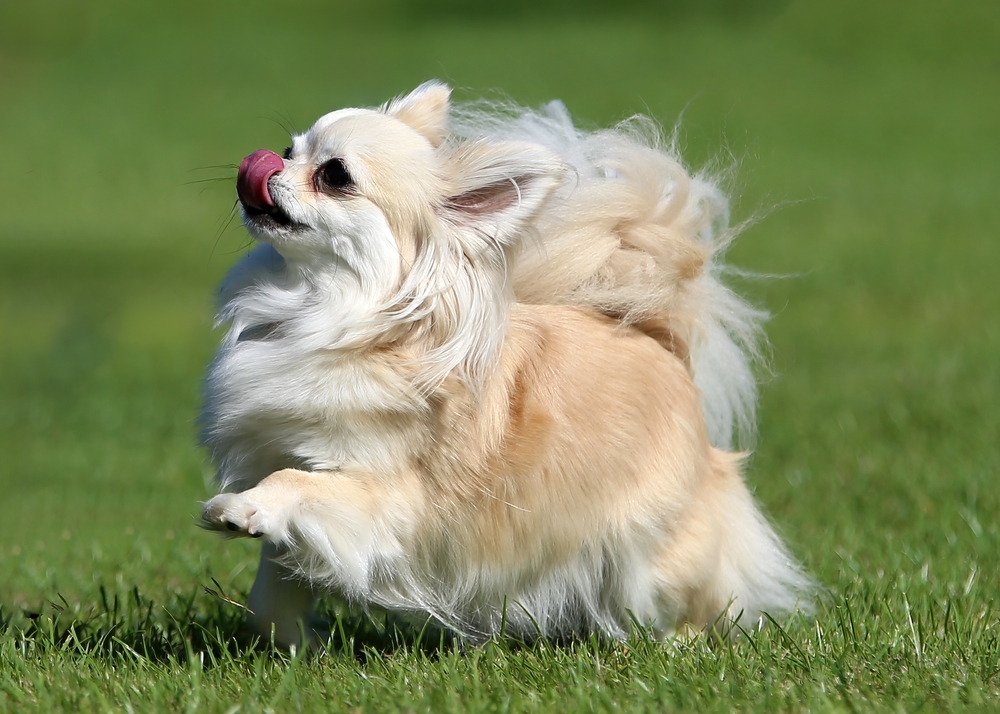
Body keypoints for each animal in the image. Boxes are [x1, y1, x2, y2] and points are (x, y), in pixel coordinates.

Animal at [197, 82, 812, 644]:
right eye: (291, 147)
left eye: (334, 175)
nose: (267, 163)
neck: (323, 313)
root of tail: (655, 334)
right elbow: (274, 585)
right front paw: (293, 643)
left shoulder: (391, 499)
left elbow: (296, 482)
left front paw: (241, 509)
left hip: (654, 555)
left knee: (691, 602)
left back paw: (675, 644)